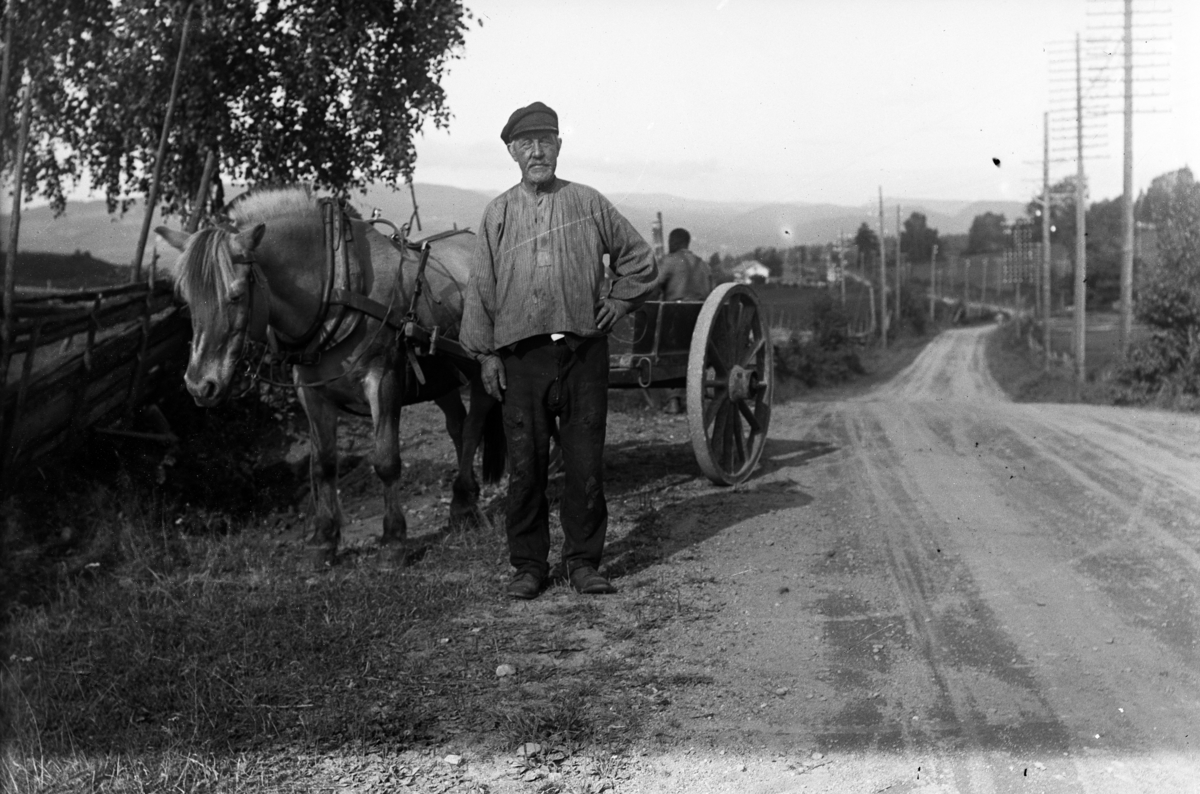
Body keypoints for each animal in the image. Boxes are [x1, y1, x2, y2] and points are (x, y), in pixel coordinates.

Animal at [154, 187, 501, 566]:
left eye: (235, 295)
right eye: (185, 298)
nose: (200, 385)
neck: (337, 285)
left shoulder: (383, 380)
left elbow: (386, 460)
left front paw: (393, 540)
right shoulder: (311, 392)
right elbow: (323, 464)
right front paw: (323, 539)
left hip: (480, 370)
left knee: (473, 427)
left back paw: (464, 499)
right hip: (439, 375)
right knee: (457, 425)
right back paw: (465, 503)